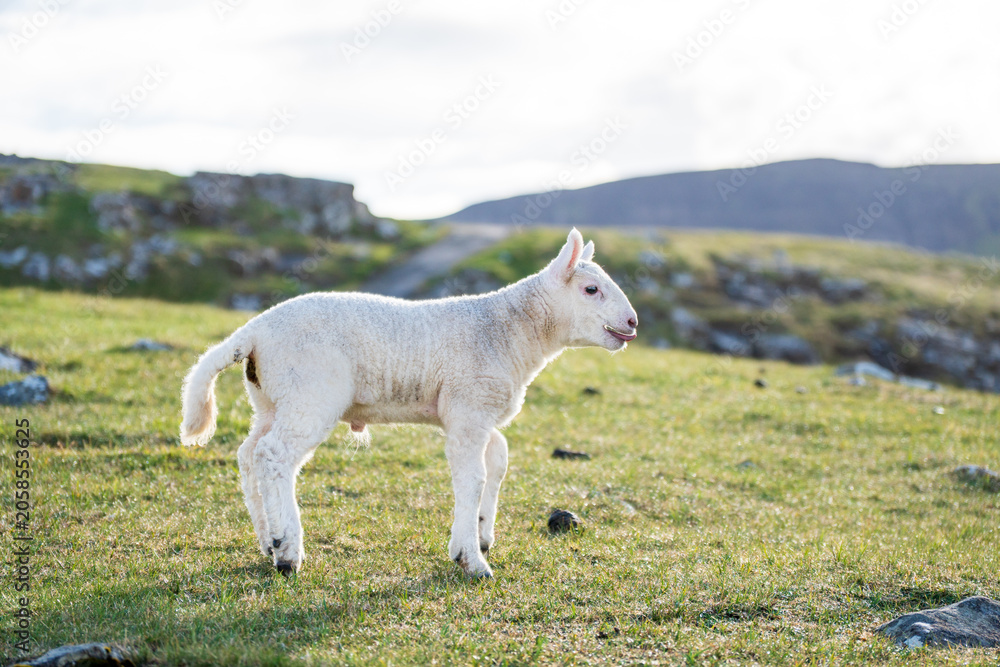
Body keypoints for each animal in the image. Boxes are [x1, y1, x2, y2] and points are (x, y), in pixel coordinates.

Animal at [180, 228, 638, 578]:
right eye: (591, 289)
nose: (632, 322)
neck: (512, 331)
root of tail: (255, 330)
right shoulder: (469, 407)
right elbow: (472, 479)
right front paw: (471, 561)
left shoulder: (475, 411)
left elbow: (498, 461)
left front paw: (482, 534)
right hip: (310, 393)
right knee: (275, 457)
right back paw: (287, 550)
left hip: (271, 399)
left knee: (249, 454)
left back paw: (266, 541)